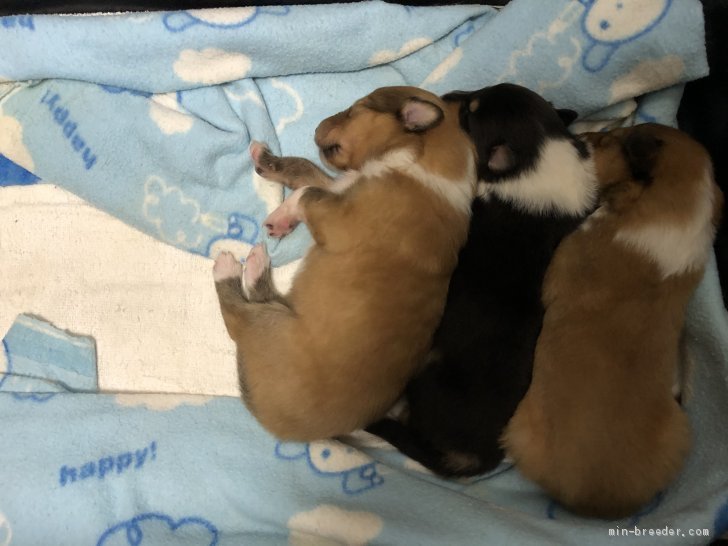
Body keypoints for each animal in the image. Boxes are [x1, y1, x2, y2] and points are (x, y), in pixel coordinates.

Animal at [213, 86, 476, 441]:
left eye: (355, 109)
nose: (314, 129)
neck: (420, 158)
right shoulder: (342, 186)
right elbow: (304, 171)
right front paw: (268, 166)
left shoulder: (339, 216)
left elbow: (307, 190)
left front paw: (282, 214)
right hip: (284, 311)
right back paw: (256, 265)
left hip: (269, 326)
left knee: (236, 316)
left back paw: (230, 267)